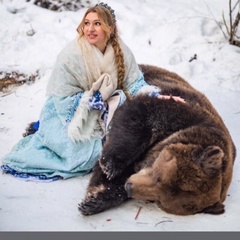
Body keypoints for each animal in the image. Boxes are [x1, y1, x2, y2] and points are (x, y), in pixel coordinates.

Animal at [78, 63, 235, 216]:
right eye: (158, 176)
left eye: (158, 200)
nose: (129, 187)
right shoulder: (176, 110)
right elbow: (134, 119)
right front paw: (109, 167)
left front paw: (94, 200)